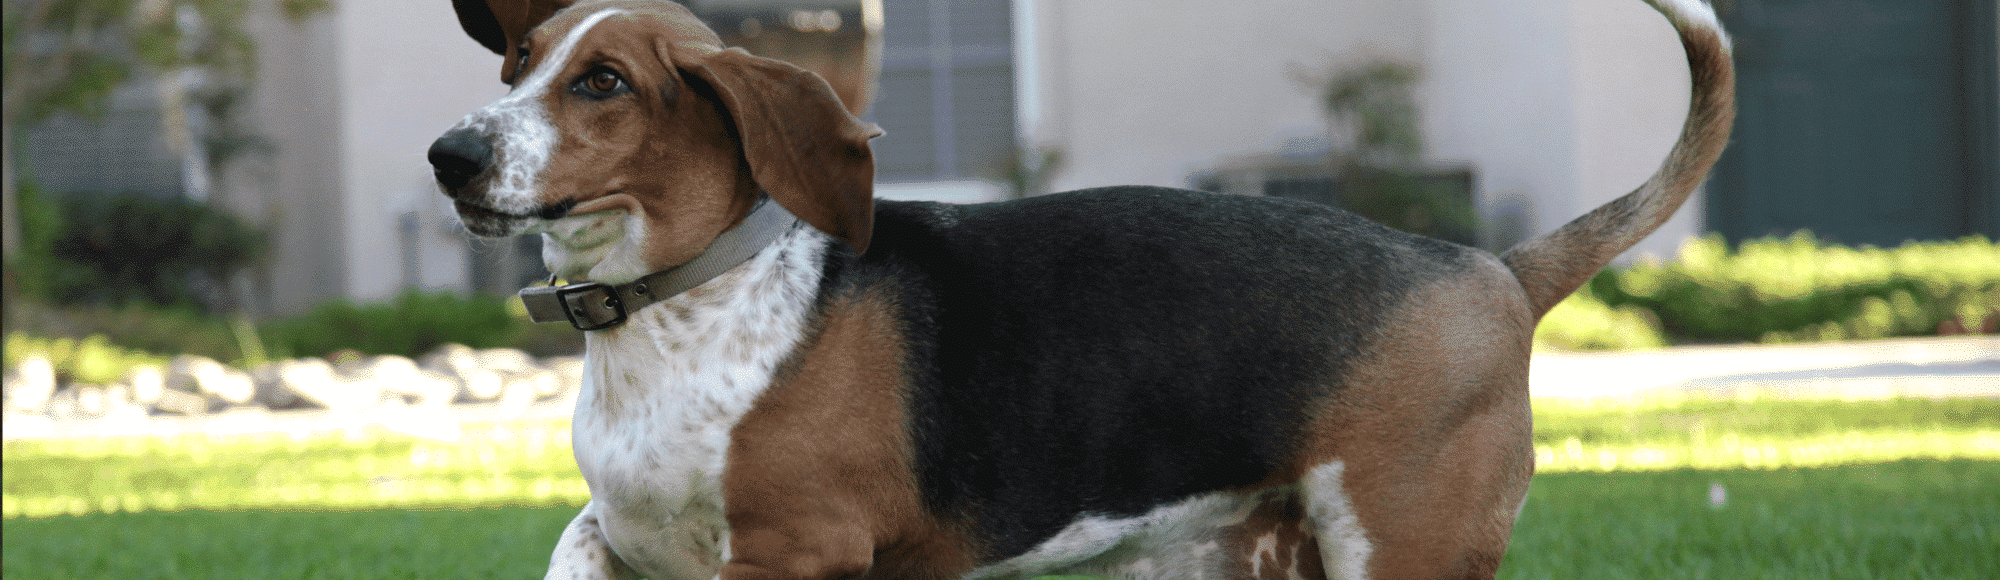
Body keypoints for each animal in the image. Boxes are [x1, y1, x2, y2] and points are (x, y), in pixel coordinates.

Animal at [426, 0, 1736, 576]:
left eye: (601, 82)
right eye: (519, 59)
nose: (449, 154)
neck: (676, 305)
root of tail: (1486, 267)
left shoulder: (797, 552)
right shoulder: (625, 540)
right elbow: (576, 541)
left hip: (1400, 550)